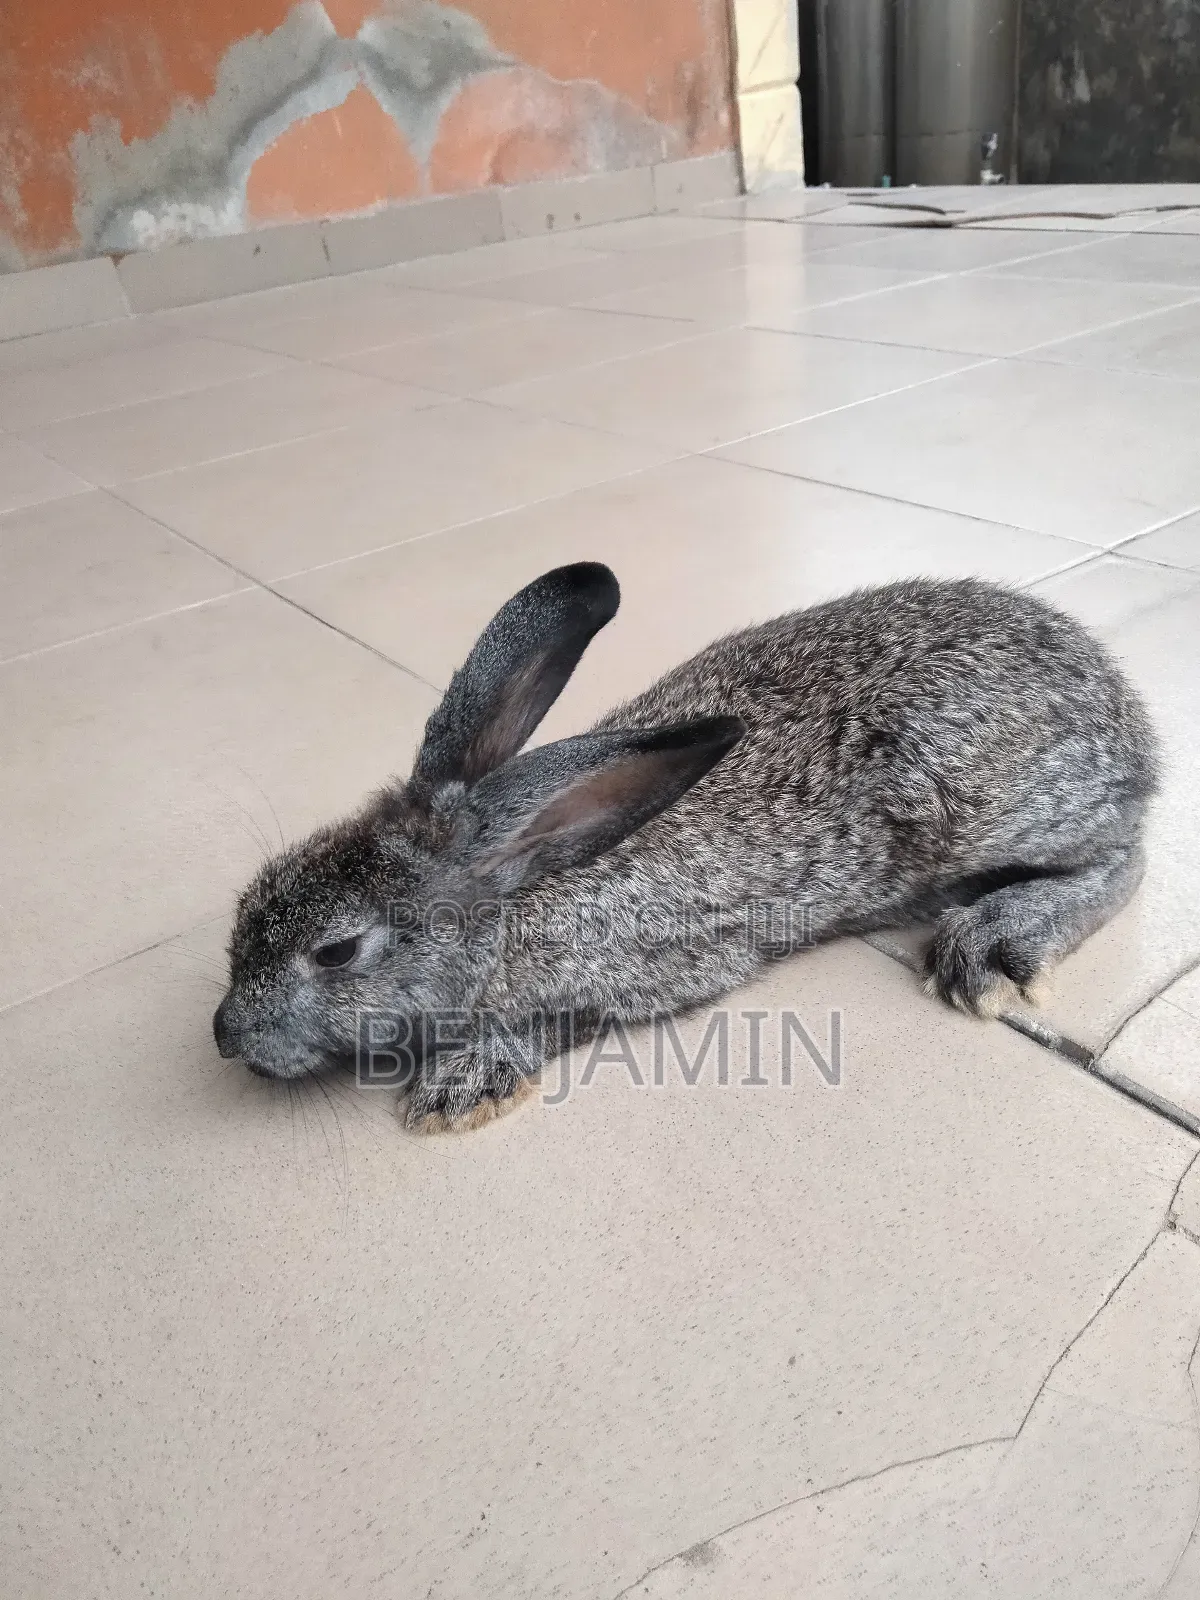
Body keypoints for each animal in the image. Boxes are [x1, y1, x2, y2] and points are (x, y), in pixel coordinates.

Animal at [214, 561, 1158, 1133]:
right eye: (257, 892)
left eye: (336, 951)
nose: (225, 1035)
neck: (516, 879)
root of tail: (1125, 705)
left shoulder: (650, 976)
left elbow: (551, 1025)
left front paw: (460, 1086)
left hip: (995, 804)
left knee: (1125, 857)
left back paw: (1001, 939)